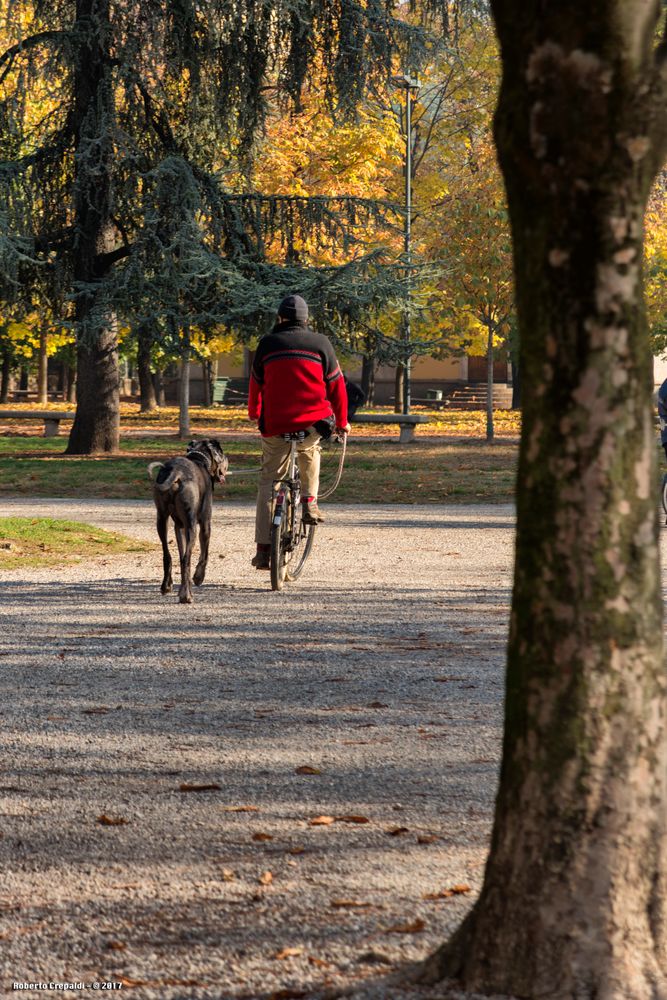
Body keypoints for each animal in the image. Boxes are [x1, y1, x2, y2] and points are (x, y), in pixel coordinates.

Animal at [147, 442, 228, 604]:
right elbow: (204, 554)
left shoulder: (179, 527)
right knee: (186, 559)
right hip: (192, 527)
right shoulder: (205, 523)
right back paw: (187, 595)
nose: (227, 460)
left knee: (169, 555)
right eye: (222, 453)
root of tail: (176, 472)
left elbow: (180, 551)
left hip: (161, 519)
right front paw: (198, 577)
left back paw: (166, 586)